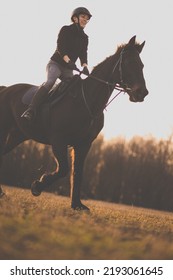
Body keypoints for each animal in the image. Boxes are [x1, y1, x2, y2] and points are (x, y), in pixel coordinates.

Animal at [0, 35, 149, 210]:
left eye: (141, 65)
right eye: (128, 63)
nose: (142, 93)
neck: (88, 101)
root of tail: (6, 89)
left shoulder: (84, 144)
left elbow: (77, 173)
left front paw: (77, 204)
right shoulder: (59, 140)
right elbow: (64, 169)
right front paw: (38, 186)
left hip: (16, 136)